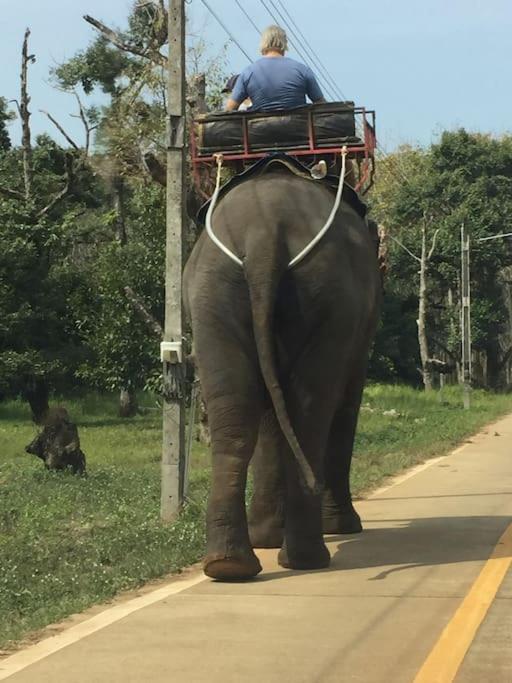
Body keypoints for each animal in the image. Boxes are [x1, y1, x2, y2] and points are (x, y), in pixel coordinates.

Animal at [184, 168, 380, 580]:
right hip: (327, 297)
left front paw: (268, 537)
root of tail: (263, 233)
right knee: (311, 413)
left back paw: (230, 565)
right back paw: (307, 558)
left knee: (236, 420)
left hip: (213, 294)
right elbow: (345, 402)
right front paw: (343, 527)